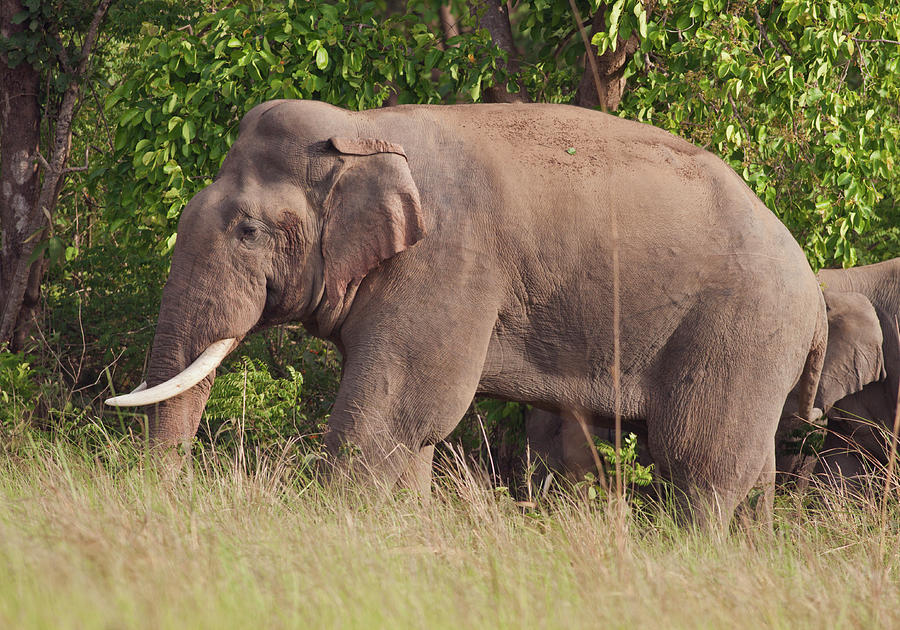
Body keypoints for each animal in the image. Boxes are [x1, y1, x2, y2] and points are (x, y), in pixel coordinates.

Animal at [102, 101, 828, 532]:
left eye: (248, 232)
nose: (166, 502)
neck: (362, 128)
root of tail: (815, 291)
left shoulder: (449, 260)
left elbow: (401, 408)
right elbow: (409, 423)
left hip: (742, 332)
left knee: (699, 460)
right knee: (746, 469)